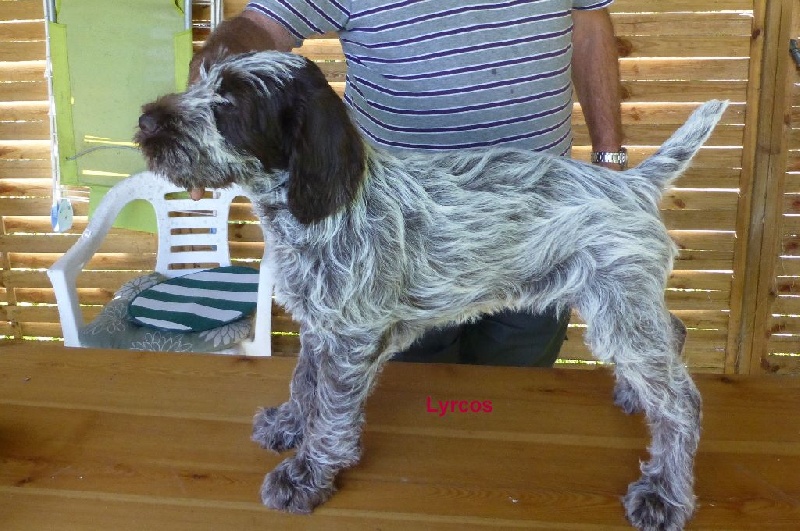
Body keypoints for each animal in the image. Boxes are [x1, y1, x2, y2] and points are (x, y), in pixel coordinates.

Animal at [135, 50, 727, 530]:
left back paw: (666, 493)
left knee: (683, 401)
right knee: (673, 335)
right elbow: (305, 385)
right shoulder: (321, 325)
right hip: (627, 304)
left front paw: (307, 475)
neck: (323, 206)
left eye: (230, 102)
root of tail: (632, 183)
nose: (145, 120)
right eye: (202, 79)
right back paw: (634, 394)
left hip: (618, 308)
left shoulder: (352, 339)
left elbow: (330, 415)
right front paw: (289, 424)